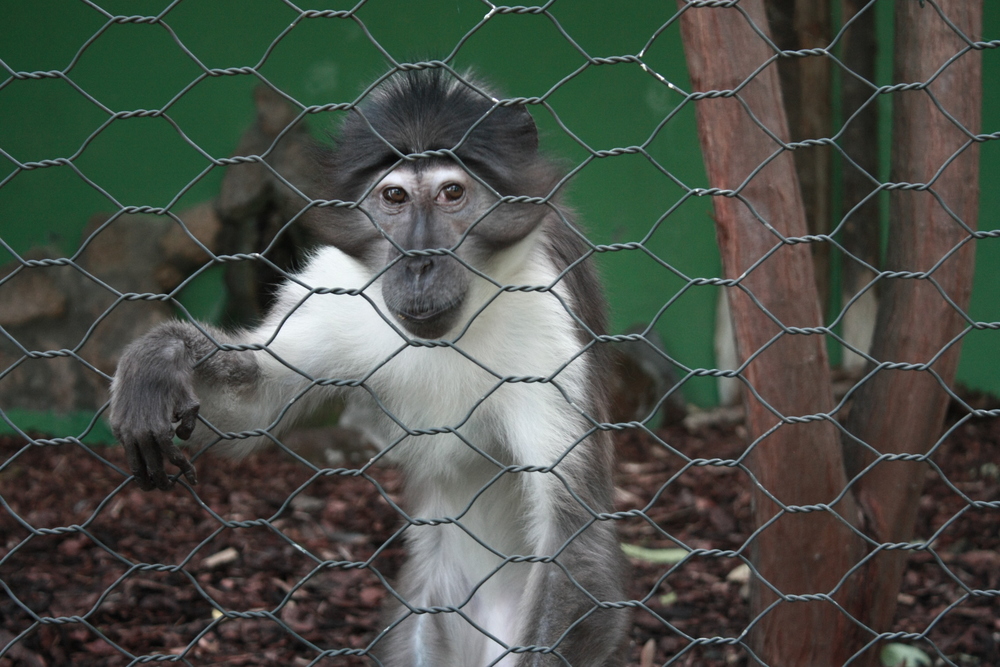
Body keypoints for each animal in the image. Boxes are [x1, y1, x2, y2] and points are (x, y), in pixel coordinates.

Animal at [107, 69, 624, 667]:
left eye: (452, 193)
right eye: (394, 196)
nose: (419, 263)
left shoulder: (547, 313)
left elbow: (576, 545)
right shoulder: (336, 283)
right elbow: (255, 409)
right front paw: (161, 357)